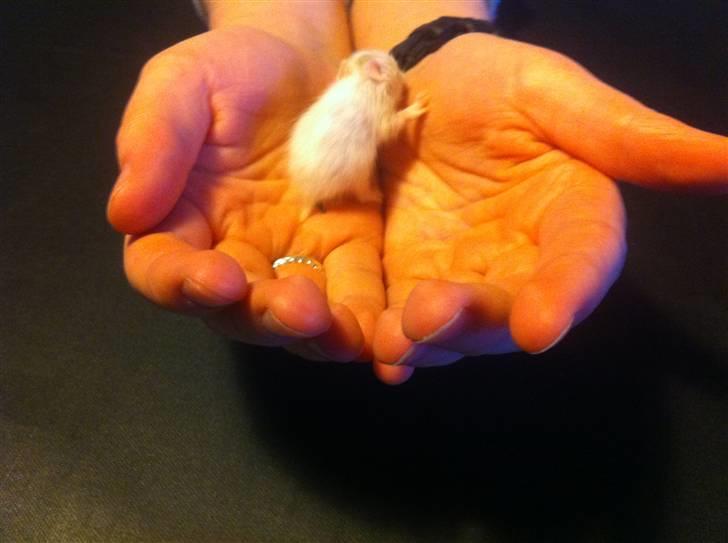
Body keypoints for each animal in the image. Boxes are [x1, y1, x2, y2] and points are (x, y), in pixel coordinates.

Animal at [287, 50, 427, 220]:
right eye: (394, 67)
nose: (404, 76)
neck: (364, 79)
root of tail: (309, 194)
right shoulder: (383, 117)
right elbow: (396, 121)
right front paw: (420, 104)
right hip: (361, 173)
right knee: (362, 196)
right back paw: (377, 196)